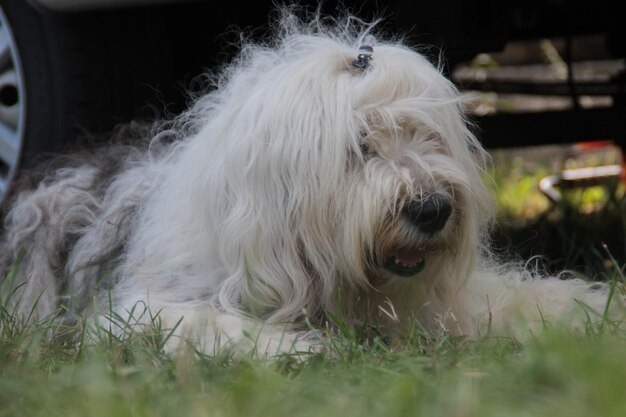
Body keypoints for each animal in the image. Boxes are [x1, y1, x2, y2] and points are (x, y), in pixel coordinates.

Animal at [0, 13, 616, 354]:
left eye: (427, 136)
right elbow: (191, 321)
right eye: (358, 145)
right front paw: (291, 349)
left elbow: (513, 294)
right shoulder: (141, 306)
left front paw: (594, 308)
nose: (432, 209)